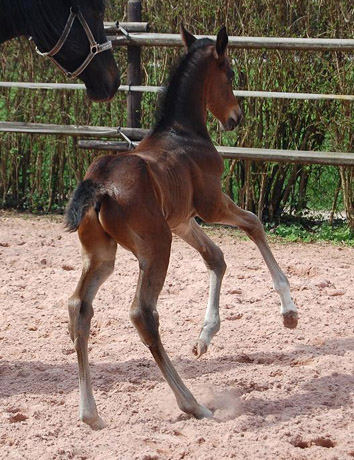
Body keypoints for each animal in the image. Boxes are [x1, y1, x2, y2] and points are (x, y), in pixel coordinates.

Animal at [65, 27, 298, 430]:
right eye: (231, 73)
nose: (236, 117)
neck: (184, 132)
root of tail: (100, 183)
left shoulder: (183, 220)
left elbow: (215, 257)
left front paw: (205, 337)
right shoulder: (211, 204)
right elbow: (255, 224)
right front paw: (289, 311)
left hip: (102, 255)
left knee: (80, 307)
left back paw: (91, 414)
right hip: (157, 247)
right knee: (142, 313)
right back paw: (194, 404)